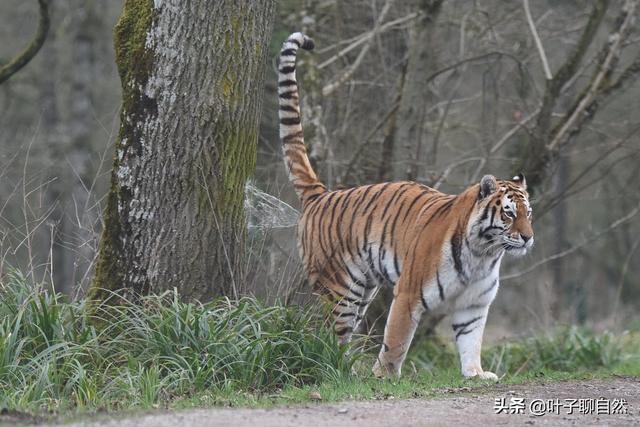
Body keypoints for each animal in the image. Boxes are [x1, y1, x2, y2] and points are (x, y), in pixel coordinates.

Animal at [278, 34, 532, 382]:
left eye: (528, 213)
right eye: (509, 213)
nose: (529, 237)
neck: (483, 254)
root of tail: (321, 195)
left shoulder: (474, 305)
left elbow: (471, 340)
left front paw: (476, 374)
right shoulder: (409, 294)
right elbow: (396, 340)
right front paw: (384, 376)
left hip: (363, 290)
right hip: (340, 288)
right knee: (331, 332)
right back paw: (338, 371)